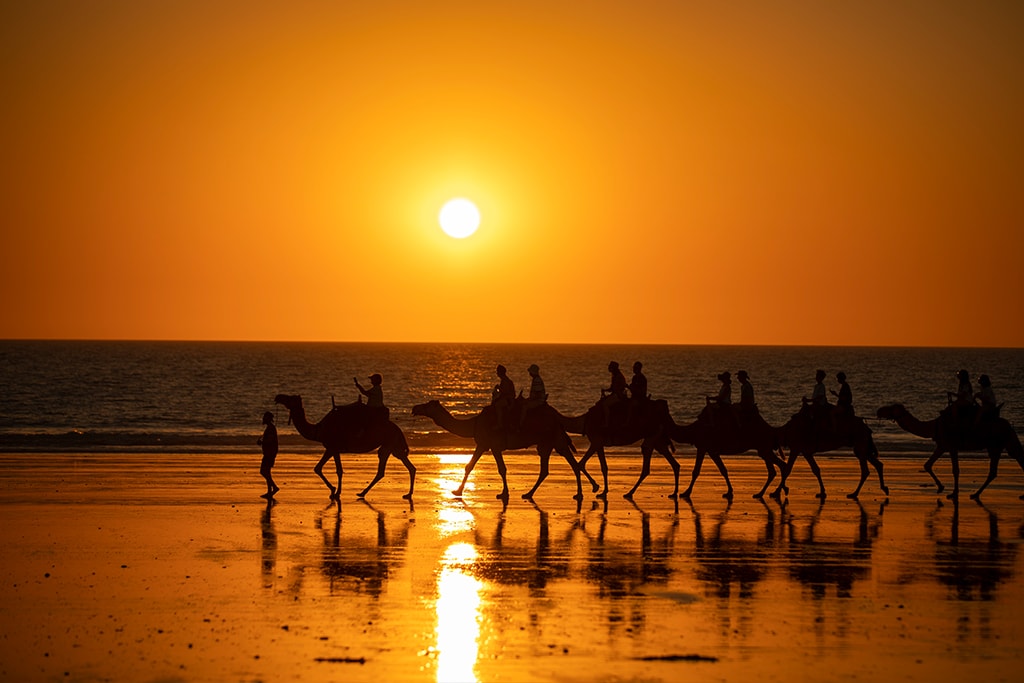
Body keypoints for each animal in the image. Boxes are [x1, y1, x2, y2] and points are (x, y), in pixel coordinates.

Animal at [276, 393, 415, 499]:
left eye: (291, 398)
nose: (278, 397)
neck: (319, 430)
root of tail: (398, 430)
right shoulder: (330, 448)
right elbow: (318, 468)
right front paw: (333, 490)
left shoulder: (333, 447)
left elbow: (337, 470)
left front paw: (335, 492)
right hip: (394, 446)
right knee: (406, 467)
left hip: (389, 443)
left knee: (383, 468)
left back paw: (364, 493)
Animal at [409, 401, 585, 501]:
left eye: (427, 405)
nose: (414, 408)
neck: (474, 423)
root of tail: (558, 418)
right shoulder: (482, 444)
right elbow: (469, 466)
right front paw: (457, 491)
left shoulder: (493, 445)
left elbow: (502, 469)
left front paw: (504, 493)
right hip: (548, 442)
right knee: (552, 469)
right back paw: (530, 494)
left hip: (554, 439)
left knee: (570, 465)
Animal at [872, 401, 1024, 501]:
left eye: (891, 408)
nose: (879, 410)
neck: (934, 425)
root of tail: (1009, 425)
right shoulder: (942, 445)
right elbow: (927, 465)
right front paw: (941, 487)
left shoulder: (951, 446)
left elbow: (955, 470)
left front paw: (953, 493)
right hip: (997, 445)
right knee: (995, 471)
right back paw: (976, 494)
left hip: (1004, 440)